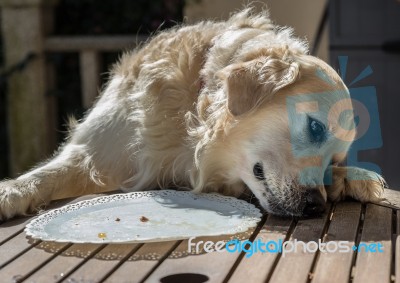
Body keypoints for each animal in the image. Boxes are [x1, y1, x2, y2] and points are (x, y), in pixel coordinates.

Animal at [0, 7, 388, 220]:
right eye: (315, 127)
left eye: (333, 161)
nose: (315, 208)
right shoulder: (96, 150)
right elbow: (47, 174)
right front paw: (11, 193)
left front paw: (355, 177)